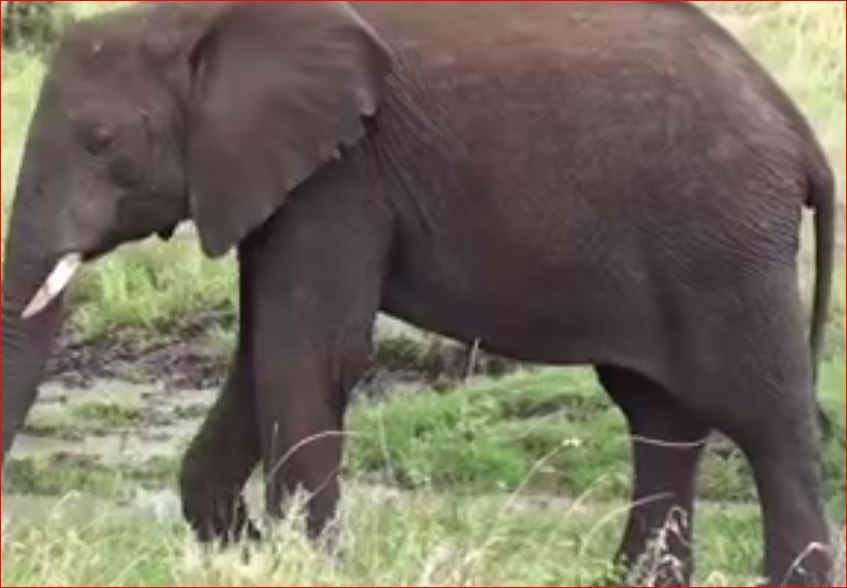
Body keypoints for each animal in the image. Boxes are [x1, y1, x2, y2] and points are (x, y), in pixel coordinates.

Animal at [0, 2, 836, 584]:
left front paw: (313, 566)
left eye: (100, 143)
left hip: (725, 247)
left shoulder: (345, 174)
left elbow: (311, 355)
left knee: (764, 422)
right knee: (660, 420)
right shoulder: (275, 176)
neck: (197, 19)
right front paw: (247, 552)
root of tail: (802, 139)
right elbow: (263, 349)